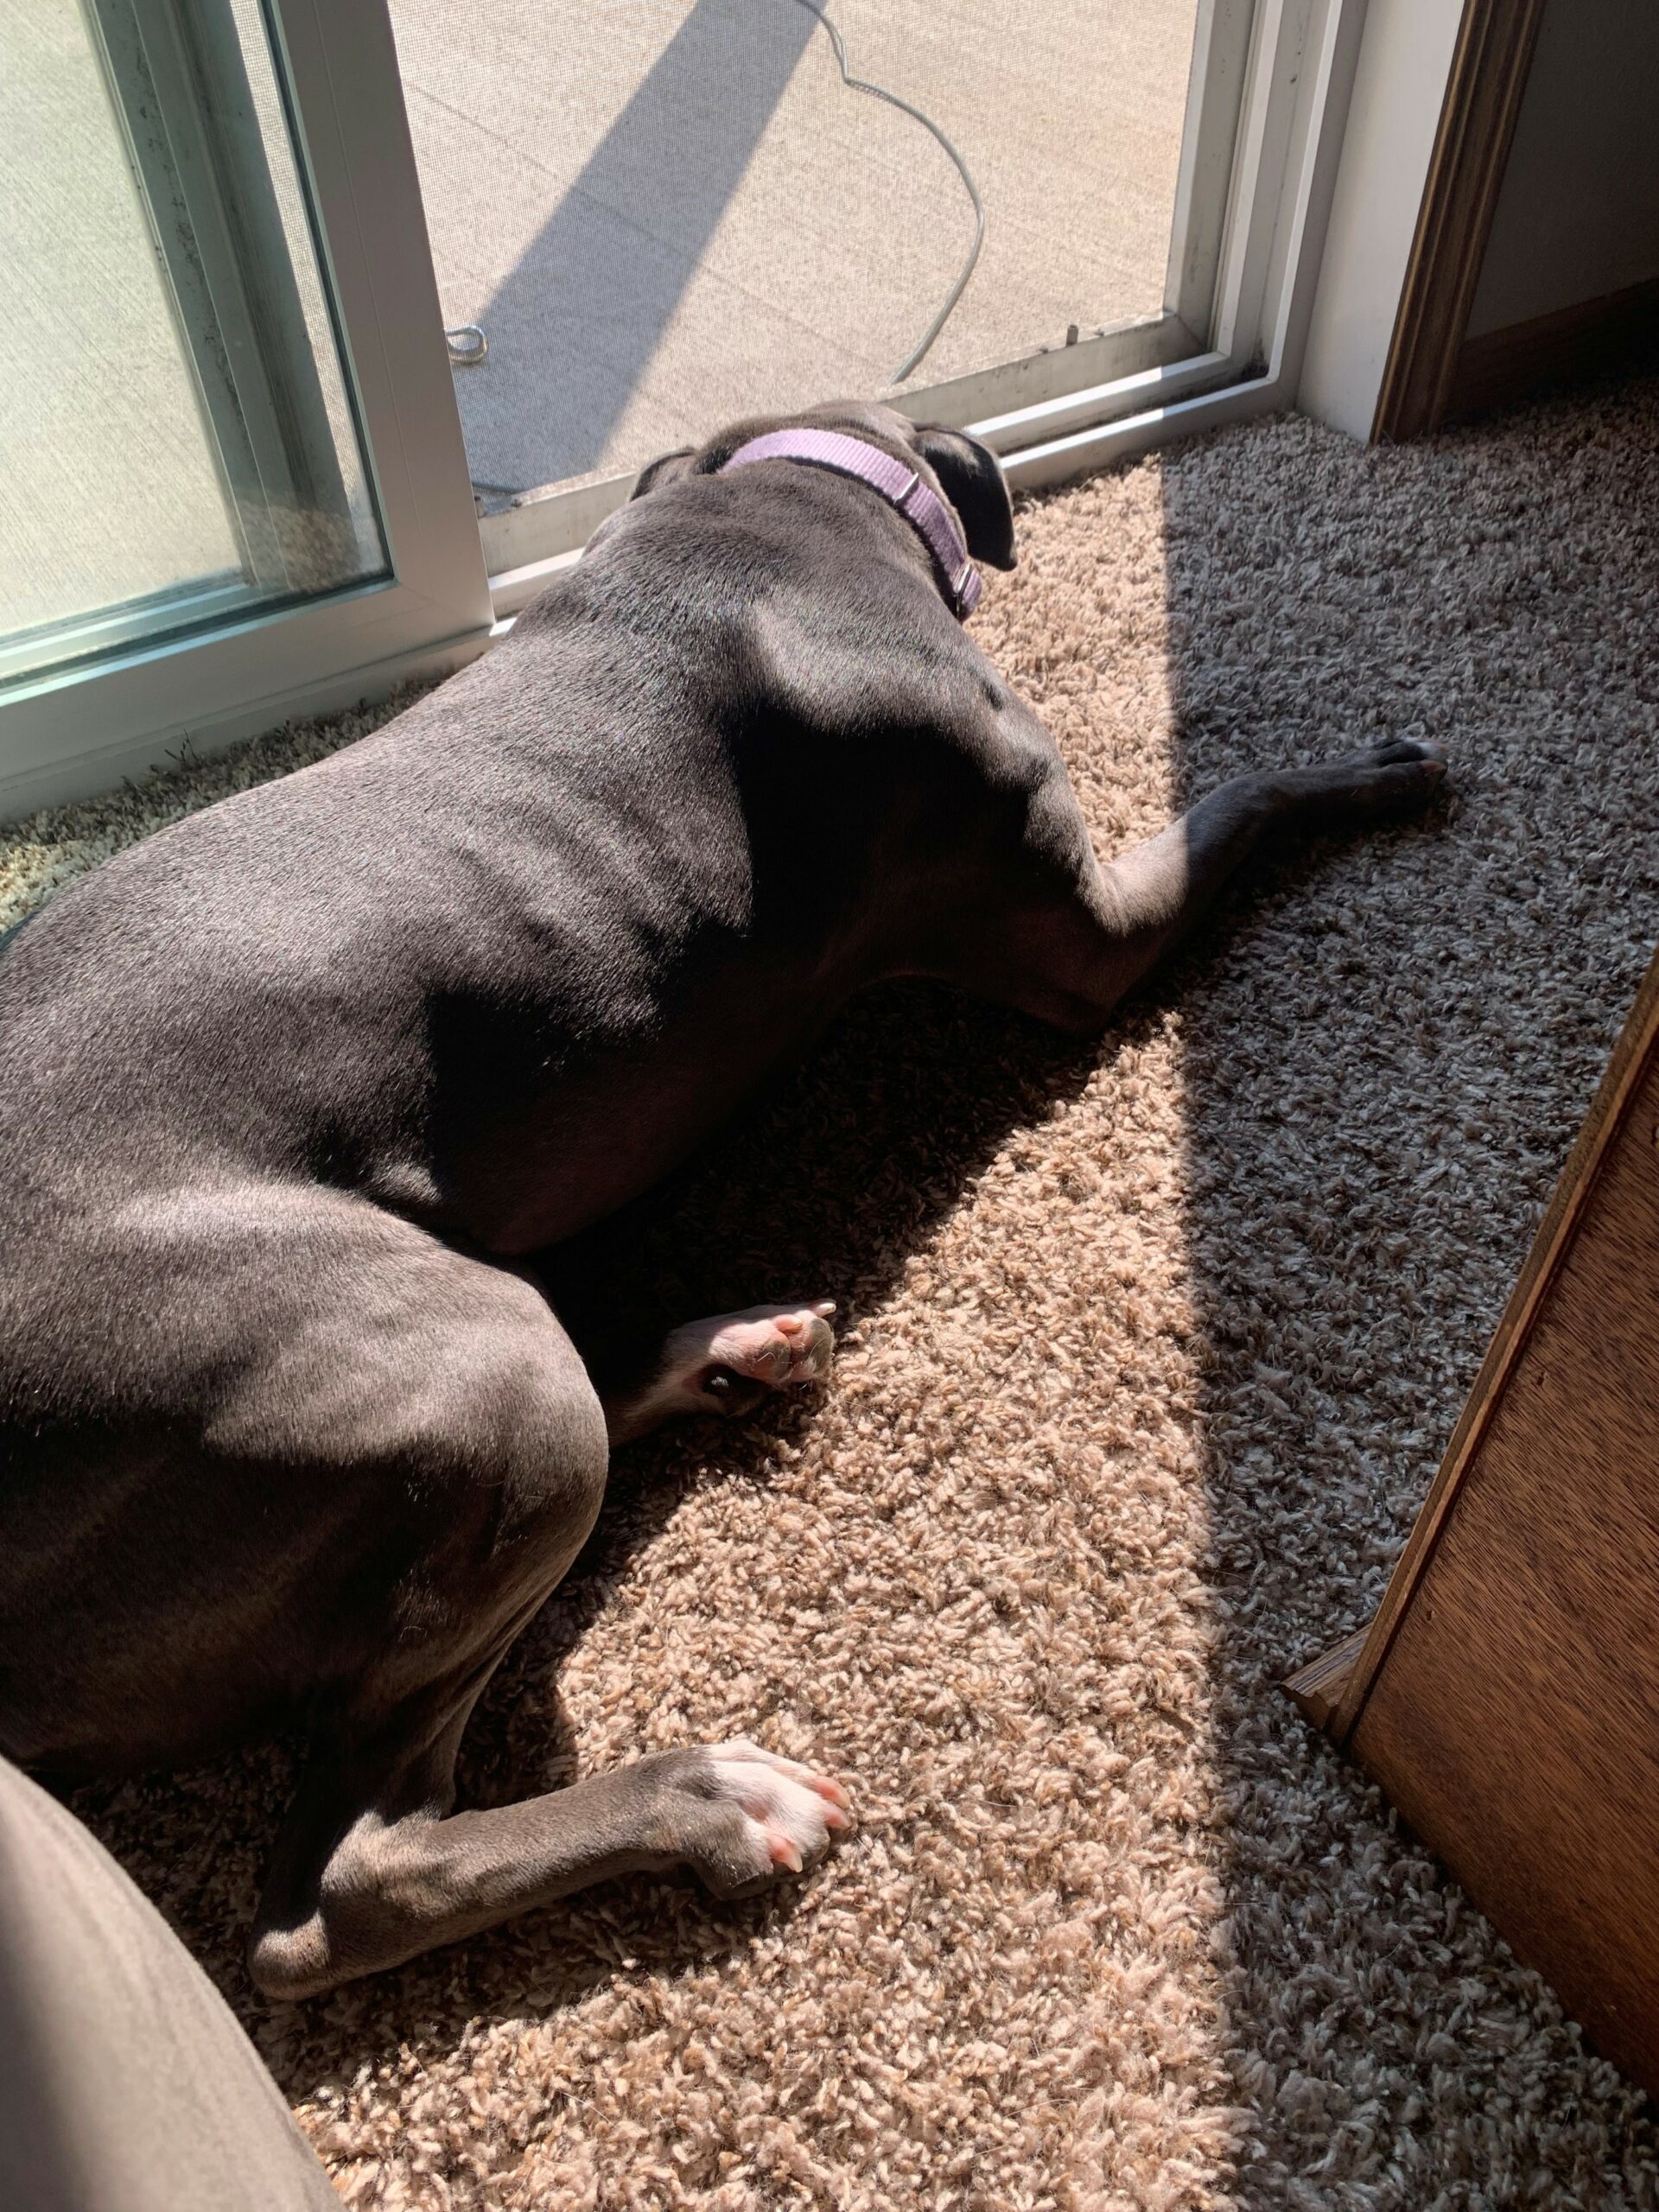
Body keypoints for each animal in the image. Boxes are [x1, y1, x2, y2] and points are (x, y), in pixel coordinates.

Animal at [0, 407, 1451, 1999]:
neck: (780, 504)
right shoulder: (1086, 937)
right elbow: (1241, 798)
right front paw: (1376, 766)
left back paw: (731, 1352)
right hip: (456, 1372)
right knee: (342, 1893)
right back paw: (704, 1795)